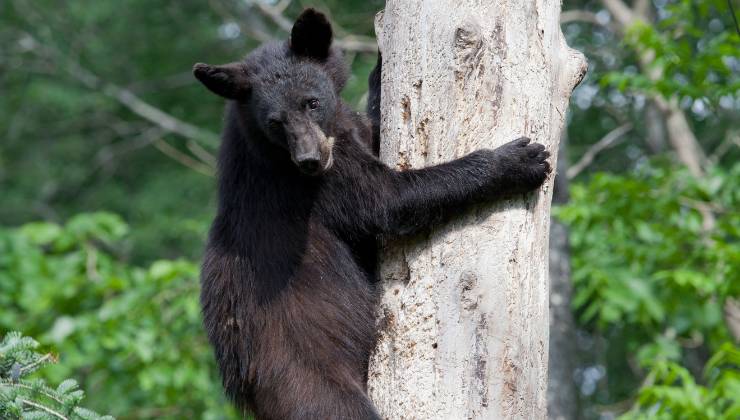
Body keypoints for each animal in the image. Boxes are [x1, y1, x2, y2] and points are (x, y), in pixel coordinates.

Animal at [194, 8, 550, 420]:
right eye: (274, 122)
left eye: (311, 102)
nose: (310, 160)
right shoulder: (314, 185)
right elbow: (388, 200)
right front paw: (519, 160)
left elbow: (376, 130)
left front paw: (382, 55)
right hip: (311, 382)